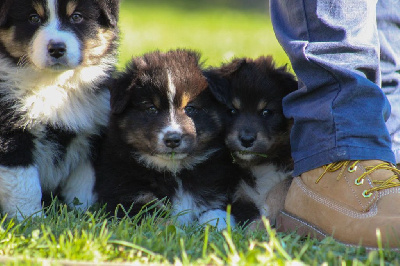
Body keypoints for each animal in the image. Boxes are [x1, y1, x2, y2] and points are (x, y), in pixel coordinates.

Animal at [0, 0, 119, 219]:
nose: (56, 48)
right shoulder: (11, 134)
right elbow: (24, 184)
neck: (54, 84)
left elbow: (83, 183)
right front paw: (30, 218)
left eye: (77, 17)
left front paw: (82, 214)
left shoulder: (93, 133)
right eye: (33, 18)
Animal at [94, 51, 244, 230]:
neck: (175, 172)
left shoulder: (216, 192)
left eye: (190, 108)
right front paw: (176, 231)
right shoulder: (127, 198)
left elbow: (215, 213)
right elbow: (157, 219)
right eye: (151, 108)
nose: (173, 139)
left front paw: (218, 228)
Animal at [209, 56, 296, 227]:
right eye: (231, 110)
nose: (246, 140)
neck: (261, 165)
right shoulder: (240, 196)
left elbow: (281, 188)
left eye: (266, 112)